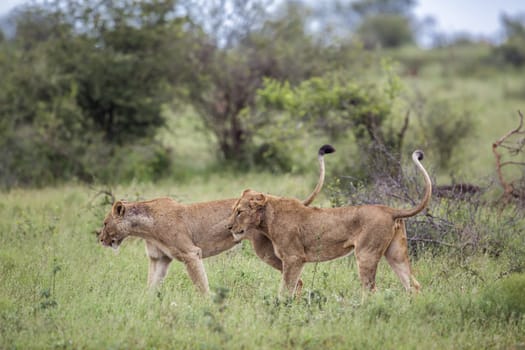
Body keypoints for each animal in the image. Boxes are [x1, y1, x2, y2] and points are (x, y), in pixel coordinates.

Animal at [98, 144, 336, 294]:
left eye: (105, 223)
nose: (99, 239)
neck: (144, 229)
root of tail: (275, 200)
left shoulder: (190, 253)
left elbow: (201, 285)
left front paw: (208, 306)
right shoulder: (159, 259)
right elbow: (150, 287)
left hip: (267, 251)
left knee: (297, 280)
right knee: (298, 281)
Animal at [227, 150, 432, 298]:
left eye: (240, 211)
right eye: (234, 209)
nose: (228, 227)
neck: (268, 219)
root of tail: (389, 210)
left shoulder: (294, 258)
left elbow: (286, 289)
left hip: (366, 254)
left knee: (371, 291)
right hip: (395, 253)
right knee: (413, 285)